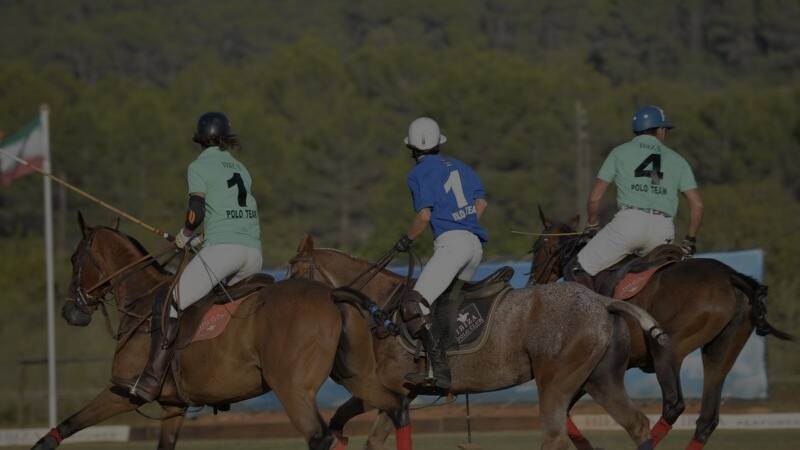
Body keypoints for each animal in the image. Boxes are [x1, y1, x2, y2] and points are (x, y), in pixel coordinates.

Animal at [290, 236, 680, 450]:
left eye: (294, 273)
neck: (381, 306)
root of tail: (603, 302)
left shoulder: (393, 389)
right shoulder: (398, 393)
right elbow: (354, 426)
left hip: (556, 380)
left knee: (554, 435)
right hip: (600, 379)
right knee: (636, 424)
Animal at [528, 208, 796, 450]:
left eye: (536, 246)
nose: (533, 281)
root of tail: (731, 276)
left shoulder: (589, 372)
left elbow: (561, 412)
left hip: (666, 348)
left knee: (673, 405)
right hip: (721, 351)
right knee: (707, 417)